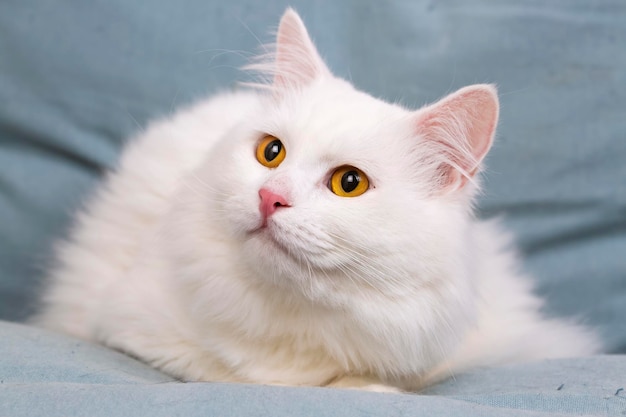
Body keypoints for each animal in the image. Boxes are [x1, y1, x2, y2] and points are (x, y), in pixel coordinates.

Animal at [33, 10, 596, 394]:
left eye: (349, 183)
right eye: (271, 153)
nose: (270, 197)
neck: (292, 316)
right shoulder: (129, 324)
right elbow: (240, 374)